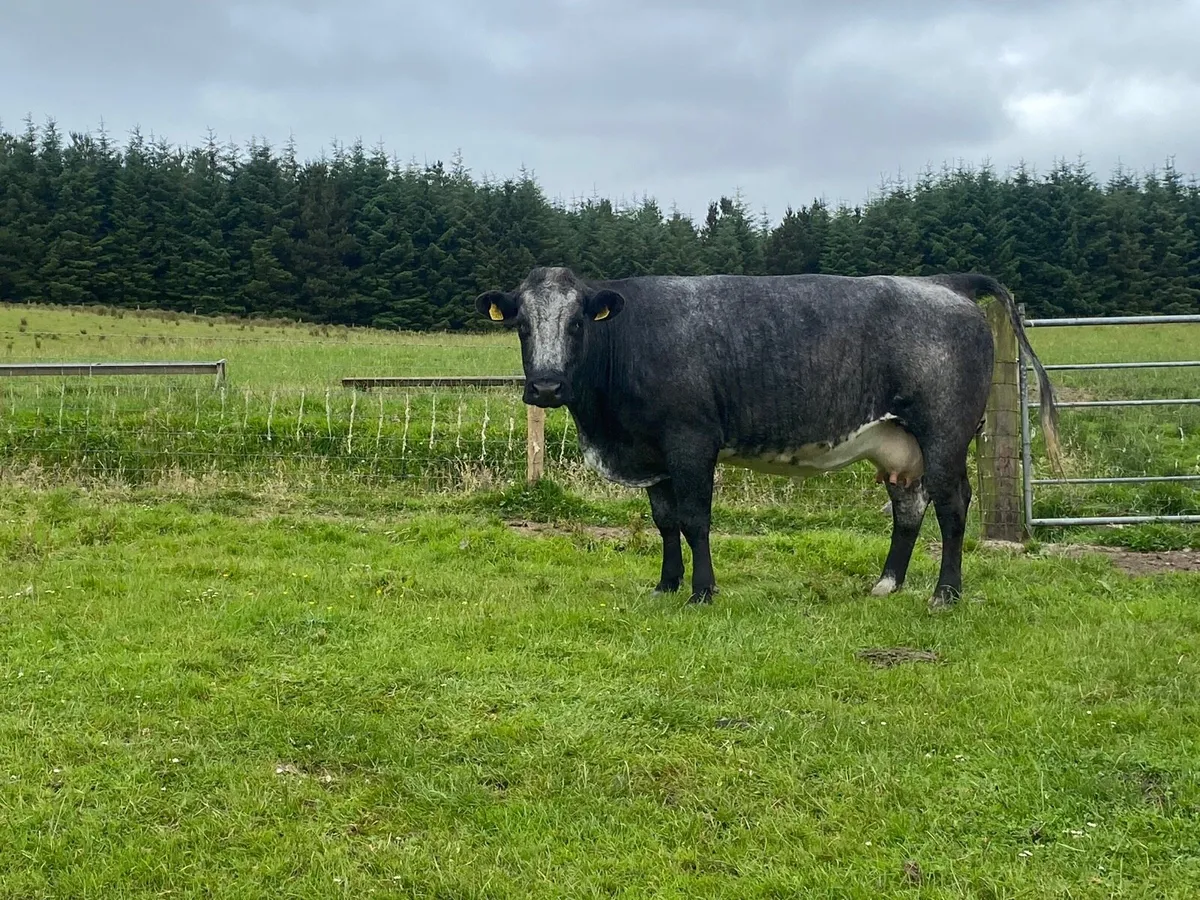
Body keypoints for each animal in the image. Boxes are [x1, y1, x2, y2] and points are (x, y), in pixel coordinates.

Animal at [475, 266, 1062, 611]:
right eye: (522, 325)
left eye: (577, 323)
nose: (546, 386)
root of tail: (946, 282)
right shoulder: (654, 454)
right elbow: (665, 522)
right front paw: (666, 584)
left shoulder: (691, 442)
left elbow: (694, 519)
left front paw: (702, 592)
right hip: (899, 444)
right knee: (909, 509)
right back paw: (887, 583)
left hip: (946, 433)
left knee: (953, 507)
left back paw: (946, 593)